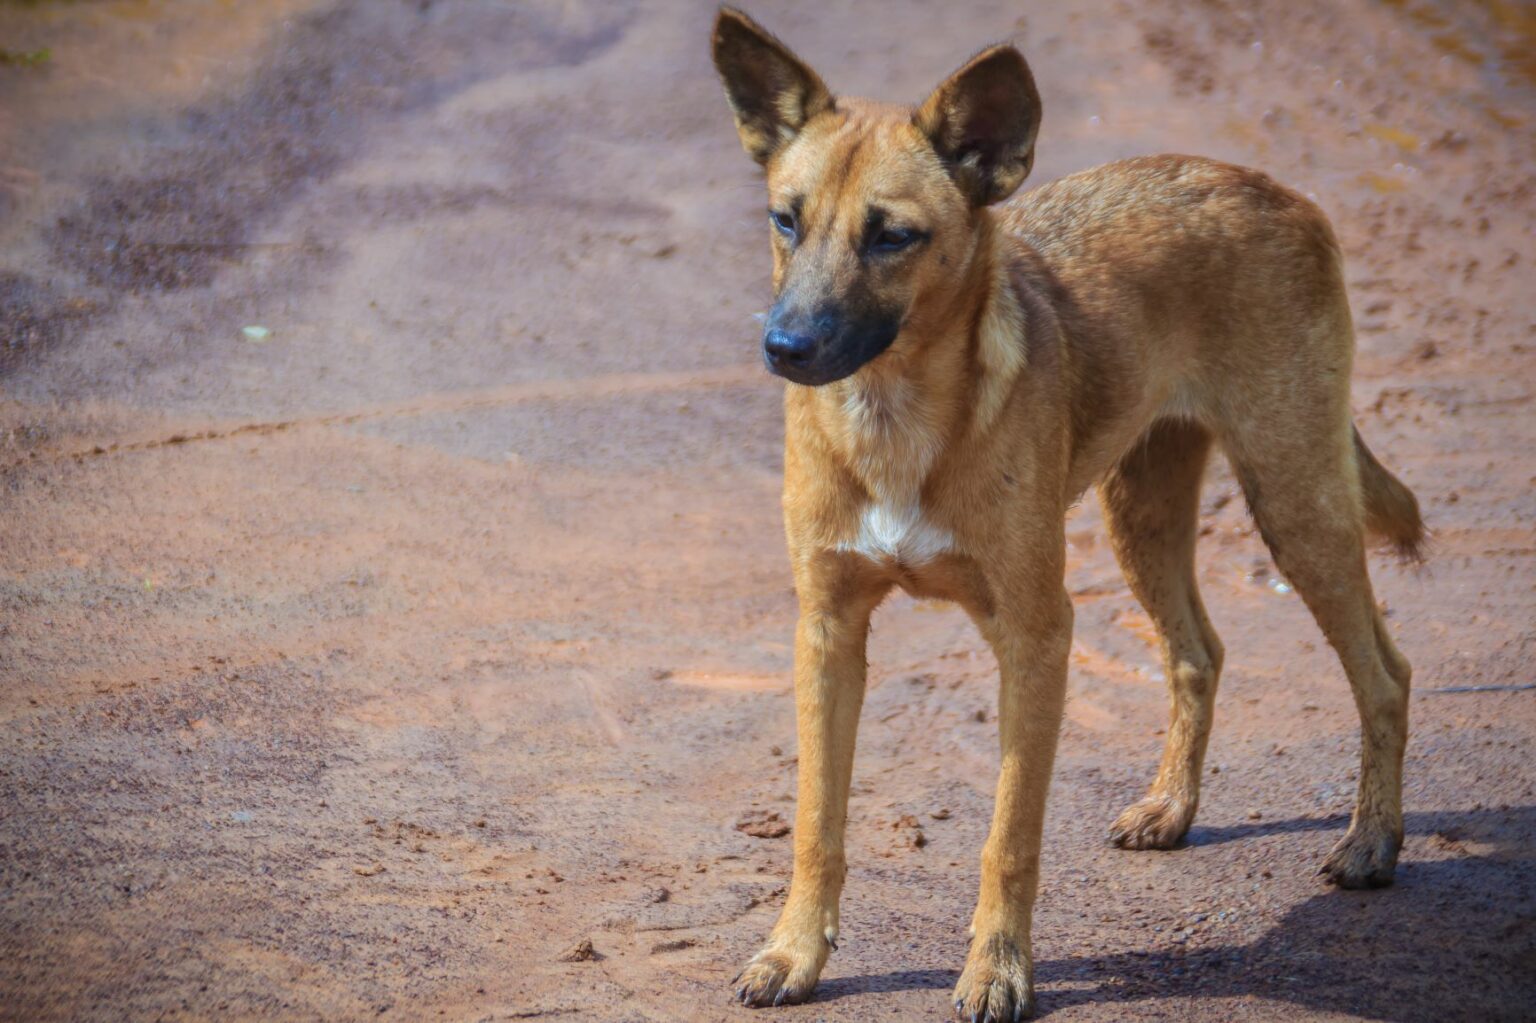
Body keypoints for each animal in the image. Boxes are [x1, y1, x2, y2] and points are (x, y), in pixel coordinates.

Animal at [712, 5, 1419, 1013]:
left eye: (893, 236)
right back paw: (1173, 807)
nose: (786, 347)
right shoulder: (827, 631)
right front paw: (794, 953)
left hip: (1296, 502)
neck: (894, 417)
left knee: (1386, 672)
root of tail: (1273, 188)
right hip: (1144, 515)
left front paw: (998, 968)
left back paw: (1371, 841)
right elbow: (817, 822)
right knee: (1199, 653)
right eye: (785, 219)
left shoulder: (1036, 633)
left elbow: (1008, 837)